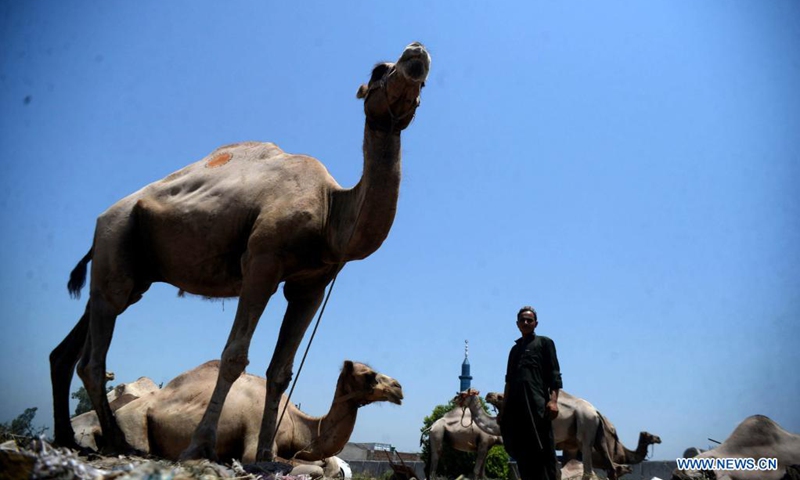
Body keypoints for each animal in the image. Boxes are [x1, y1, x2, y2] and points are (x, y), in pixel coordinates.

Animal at [49, 42, 430, 462]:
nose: (417, 51)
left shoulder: (311, 285)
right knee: (93, 356)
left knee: (69, 347)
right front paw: (200, 444)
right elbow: (234, 356)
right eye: (379, 69)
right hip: (117, 238)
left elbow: (281, 371)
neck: (331, 211)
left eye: (425, 79)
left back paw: (68, 437)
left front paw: (265, 454)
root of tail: (102, 221)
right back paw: (117, 443)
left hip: (128, 271)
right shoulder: (262, 262)